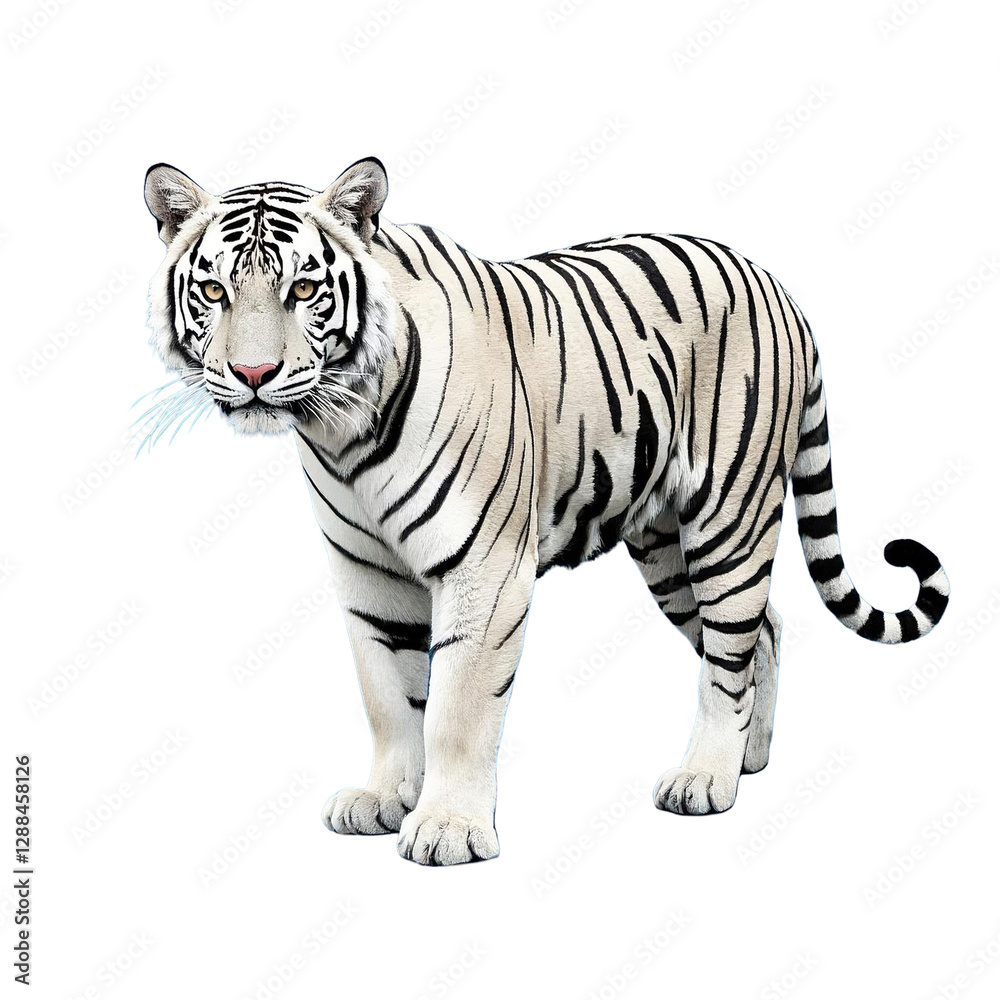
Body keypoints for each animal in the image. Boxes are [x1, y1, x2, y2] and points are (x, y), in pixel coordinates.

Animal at [143, 156, 950, 866]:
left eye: (305, 288)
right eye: (212, 290)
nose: (252, 374)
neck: (342, 426)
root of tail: (778, 285)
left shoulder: (485, 569)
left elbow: (459, 706)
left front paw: (448, 829)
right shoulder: (367, 574)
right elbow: (386, 694)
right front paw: (383, 799)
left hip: (729, 519)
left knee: (728, 651)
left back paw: (704, 779)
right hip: (665, 549)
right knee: (767, 631)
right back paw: (749, 761)